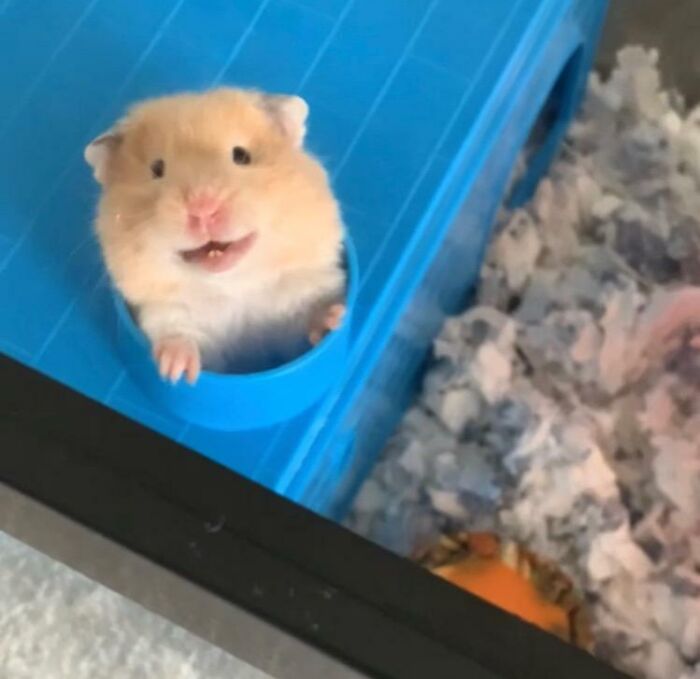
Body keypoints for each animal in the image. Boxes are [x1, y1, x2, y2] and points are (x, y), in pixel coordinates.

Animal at [84, 88, 346, 384]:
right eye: (156, 169)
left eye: (241, 155)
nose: (203, 208)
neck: (233, 285)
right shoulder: (165, 311)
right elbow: (177, 333)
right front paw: (176, 372)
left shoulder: (305, 287)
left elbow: (314, 311)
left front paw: (335, 320)